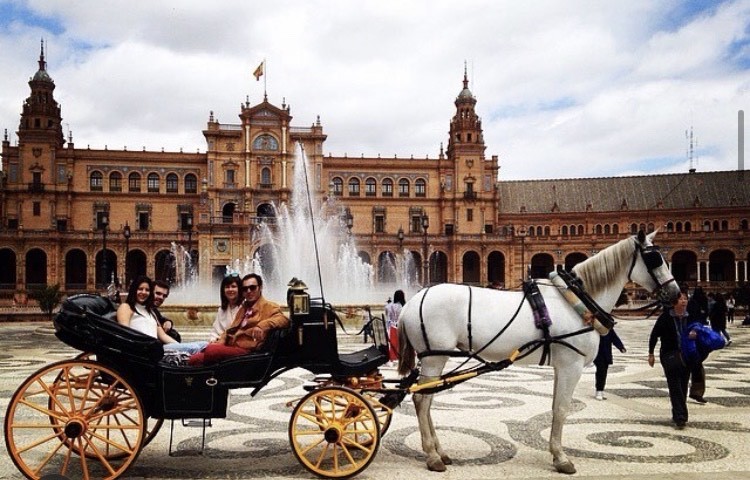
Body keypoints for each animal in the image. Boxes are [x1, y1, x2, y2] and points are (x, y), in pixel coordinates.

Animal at [400, 231, 680, 474]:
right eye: (655, 258)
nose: (676, 293)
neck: (576, 301)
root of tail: (411, 302)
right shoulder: (571, 366)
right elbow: (562, 409)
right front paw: (561, 458)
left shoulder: (561, 366)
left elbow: (556, 406)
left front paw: (556, 453)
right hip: (434, 357)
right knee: (421, 400)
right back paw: (432, 455)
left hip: (437, 358)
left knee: (426, 400)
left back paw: (440, 451)